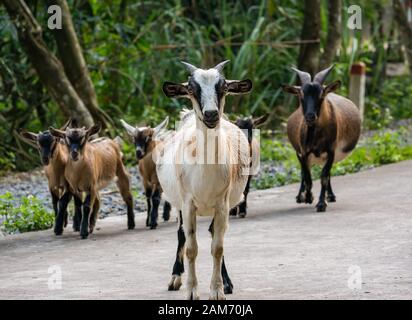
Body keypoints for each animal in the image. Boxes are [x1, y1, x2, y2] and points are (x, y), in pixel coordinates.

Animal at [158, 60, 253, 300]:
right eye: (192, 89)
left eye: (224, 87)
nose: (210, 115)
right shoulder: (188, 203)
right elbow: (191, 248)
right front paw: (192, 291)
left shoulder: (222, 204)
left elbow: (217, 247)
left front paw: (218, 290)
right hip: (180, 205)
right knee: (181, 235)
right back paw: (175, 277)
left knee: (212, 234)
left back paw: (226, 282)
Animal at [284, 65, 360, 212]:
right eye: (301, 95)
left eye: (321, 95)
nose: (310, 116)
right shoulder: (304, 152)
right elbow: (307, 177)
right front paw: (308, 197)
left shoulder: (331, 151)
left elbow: (324, 176)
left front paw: (321, 203)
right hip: (299, 153)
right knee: (303, 173)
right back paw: (300, 196)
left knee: (326, 173)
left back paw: (330, 196)